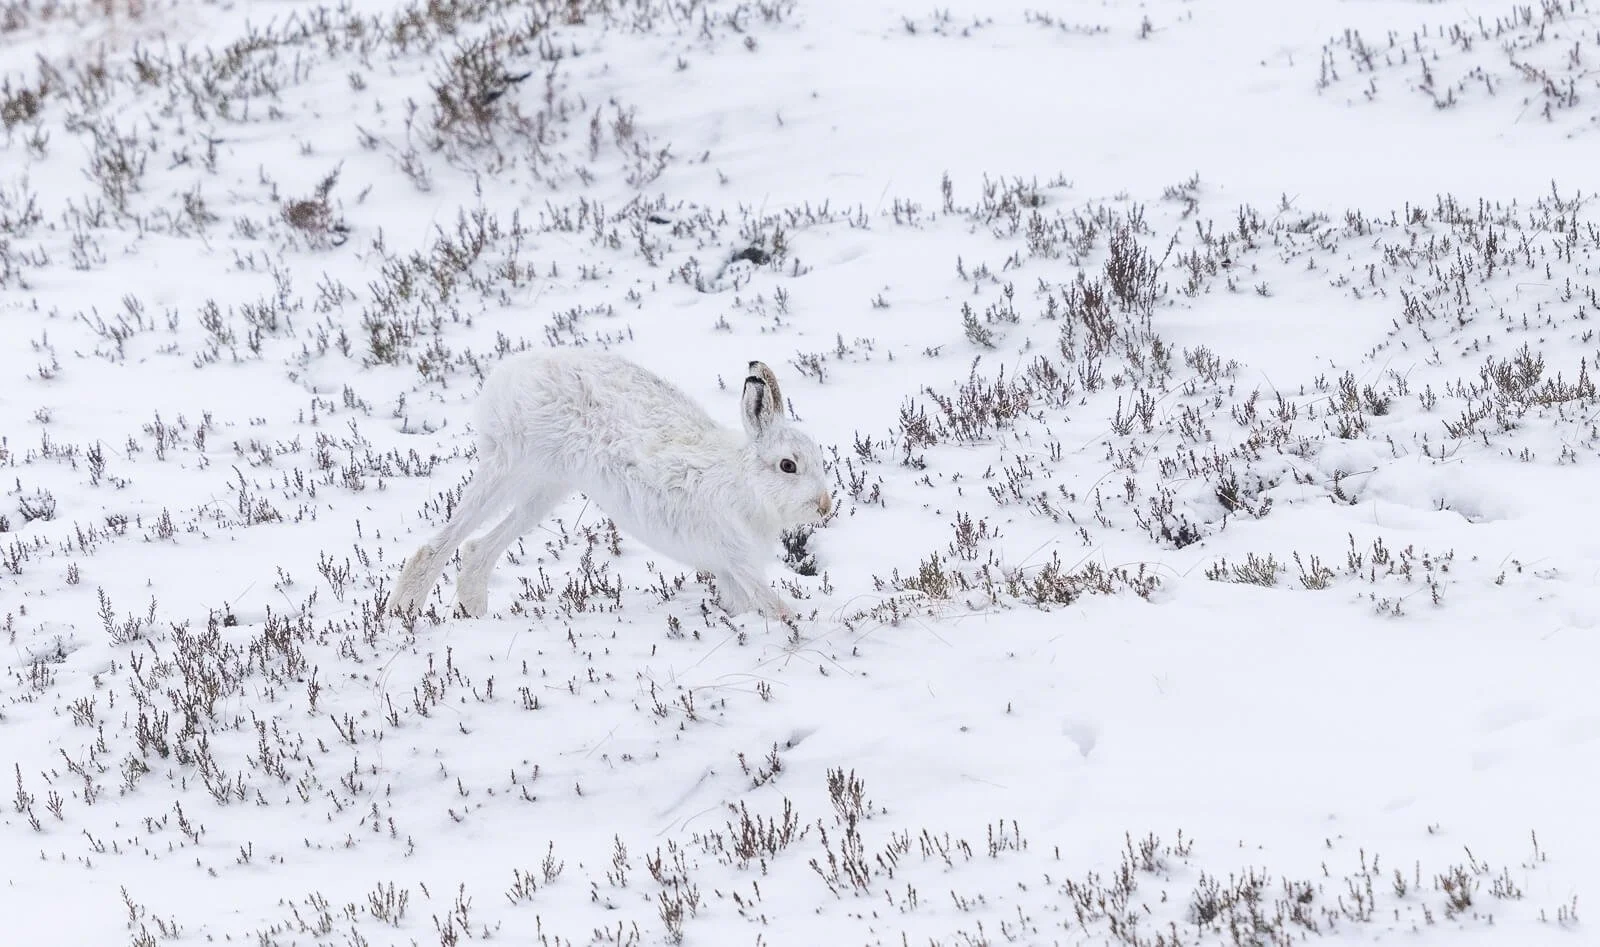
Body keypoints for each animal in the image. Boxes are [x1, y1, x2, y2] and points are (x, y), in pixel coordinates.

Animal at [388, 350, 832, 619]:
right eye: (788, 466)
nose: (825, 506)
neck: (745, 483)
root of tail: (510, 372)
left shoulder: (728, 569)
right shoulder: (737, 558)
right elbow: (774, 606)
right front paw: (796, 629)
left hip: (547, 487)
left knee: (479, 548)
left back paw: (474, 615)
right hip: (513, 464)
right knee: (439, 545)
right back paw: (404, 613)